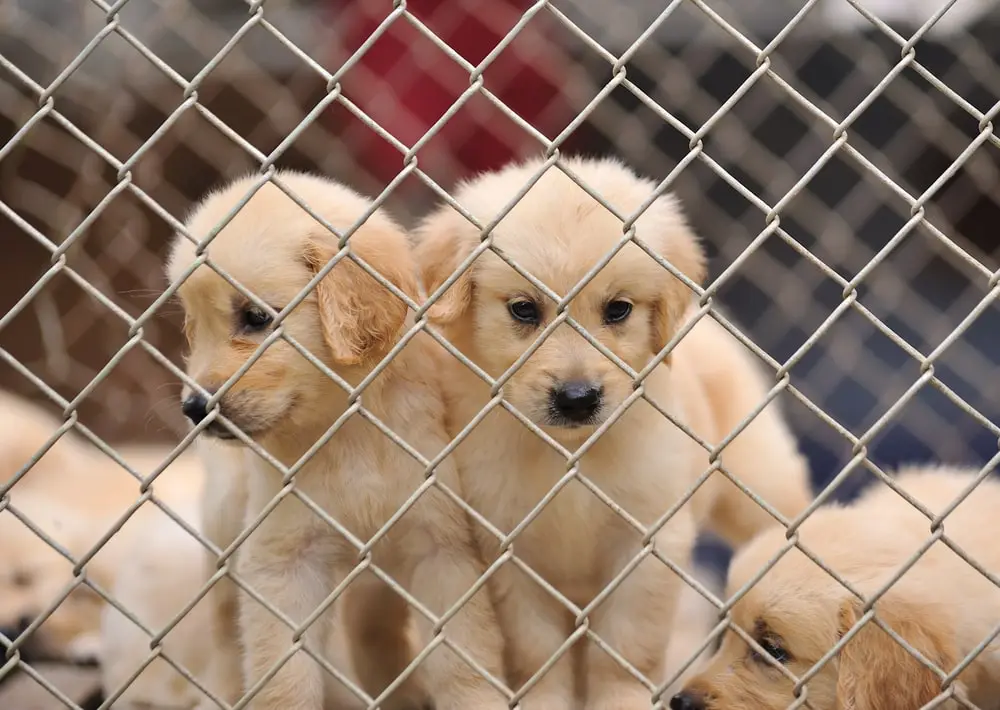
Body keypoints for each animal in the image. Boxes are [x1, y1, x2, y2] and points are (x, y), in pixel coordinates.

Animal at [169, 172, 508, 710]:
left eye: (256, 317)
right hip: (225, 524)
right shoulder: (283, 560)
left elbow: (463, 657)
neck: (348, 426)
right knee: (225, 636)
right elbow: (283, 676)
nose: (195, 409)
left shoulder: (441, 547)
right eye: (194, 327)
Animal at [414, 157, 812, 710]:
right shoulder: (511, 551)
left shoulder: (646, 543)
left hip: (757, 484)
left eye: (618, 309)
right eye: (523, 310)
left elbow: (626, 649)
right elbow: (537, 650)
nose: (578, 398)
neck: (568, 453)